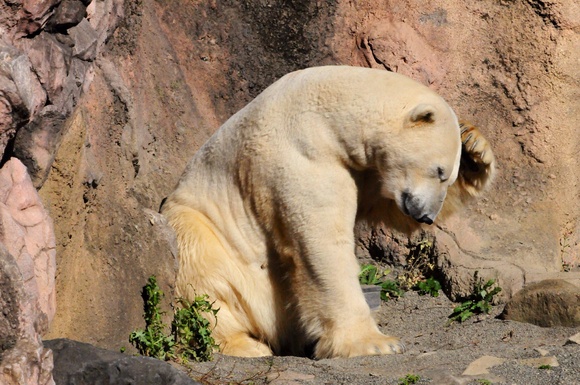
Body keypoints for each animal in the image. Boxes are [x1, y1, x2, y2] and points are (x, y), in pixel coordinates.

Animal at [161, 65, 496, 356]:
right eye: (438, 170)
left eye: (448, 176)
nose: (426, 216)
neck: (328, 114)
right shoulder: (303, 155)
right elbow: (323, 244)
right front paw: (376, 343)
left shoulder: (363, 171)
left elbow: (387, 208)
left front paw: (475, 147)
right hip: (210, 233)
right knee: (202, 270)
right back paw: (245, 345)